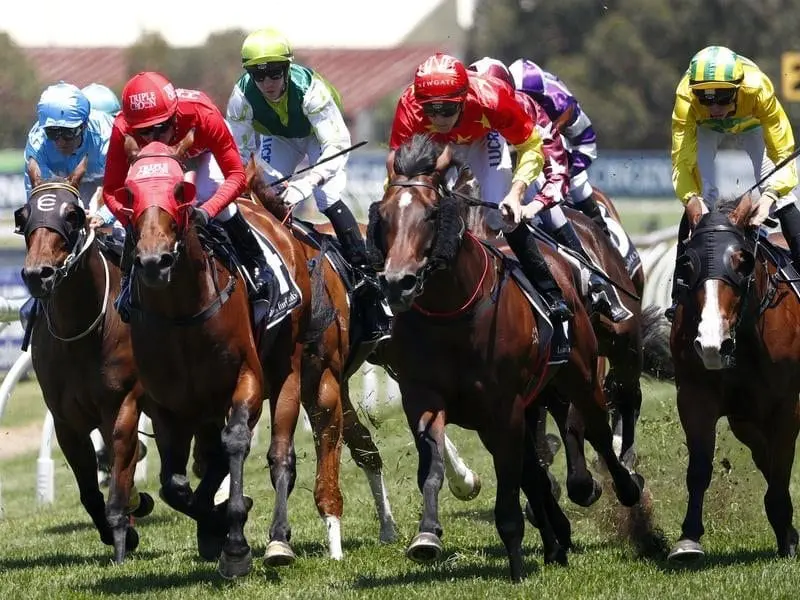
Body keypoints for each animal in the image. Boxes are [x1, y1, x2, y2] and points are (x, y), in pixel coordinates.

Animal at [15, 156, 152, 564]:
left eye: (73, 214)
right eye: (23, 214)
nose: (37, 274)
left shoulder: (122, 405)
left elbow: (122, 473)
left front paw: (123, 533)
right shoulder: (66, 421)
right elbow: (91, 492)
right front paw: (118, 530)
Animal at [368, 136, 644, 580]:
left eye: (431, 214)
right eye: (385, 215)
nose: (398, 282)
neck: (454, 314)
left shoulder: (505, 409)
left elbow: (516, 485)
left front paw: (517, 564)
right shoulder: (427, 401)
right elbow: (433, 468)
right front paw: (426, 535)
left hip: (586, 371)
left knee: (602, 427)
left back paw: (624, 484)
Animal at [668, 195, 800, 560]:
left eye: (743, 261)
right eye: (687, 263)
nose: (713, 343)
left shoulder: (787, 406)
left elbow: (781, 467)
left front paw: (787, 537)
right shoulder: (696, 396)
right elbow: (700, 468)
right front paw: (689, 538)